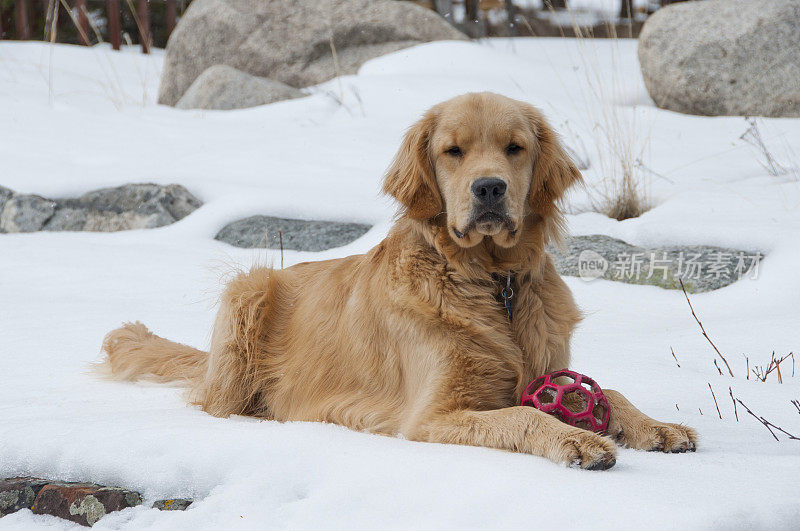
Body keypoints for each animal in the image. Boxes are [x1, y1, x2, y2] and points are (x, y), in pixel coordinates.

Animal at [101, 93, 692, 472]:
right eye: (453, 151)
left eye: (515, 147)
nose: (489, 188)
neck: (489, 281)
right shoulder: (431, 416)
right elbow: (525, 412)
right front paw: (576, 439)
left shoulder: (550, 365)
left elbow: (606, 392)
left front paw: (655, 425)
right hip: (248, 288)